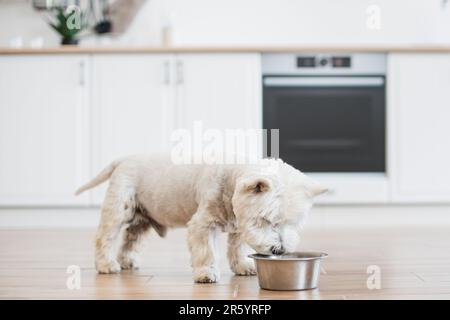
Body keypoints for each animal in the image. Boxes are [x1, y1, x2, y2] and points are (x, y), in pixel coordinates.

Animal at [75, 155, 326, 282]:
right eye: (266, 220)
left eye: (293, 224)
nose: (279, 250)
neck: (230, 180)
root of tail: (124, 160)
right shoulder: (202, 224)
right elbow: (206, 251)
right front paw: (206, 273)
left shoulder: (239, 227)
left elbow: (237, 248)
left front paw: (243, 266)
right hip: (119, 208)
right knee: (105, 237)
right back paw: (107, 265)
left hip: (142, 217)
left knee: (131, 237)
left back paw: (127, 261)